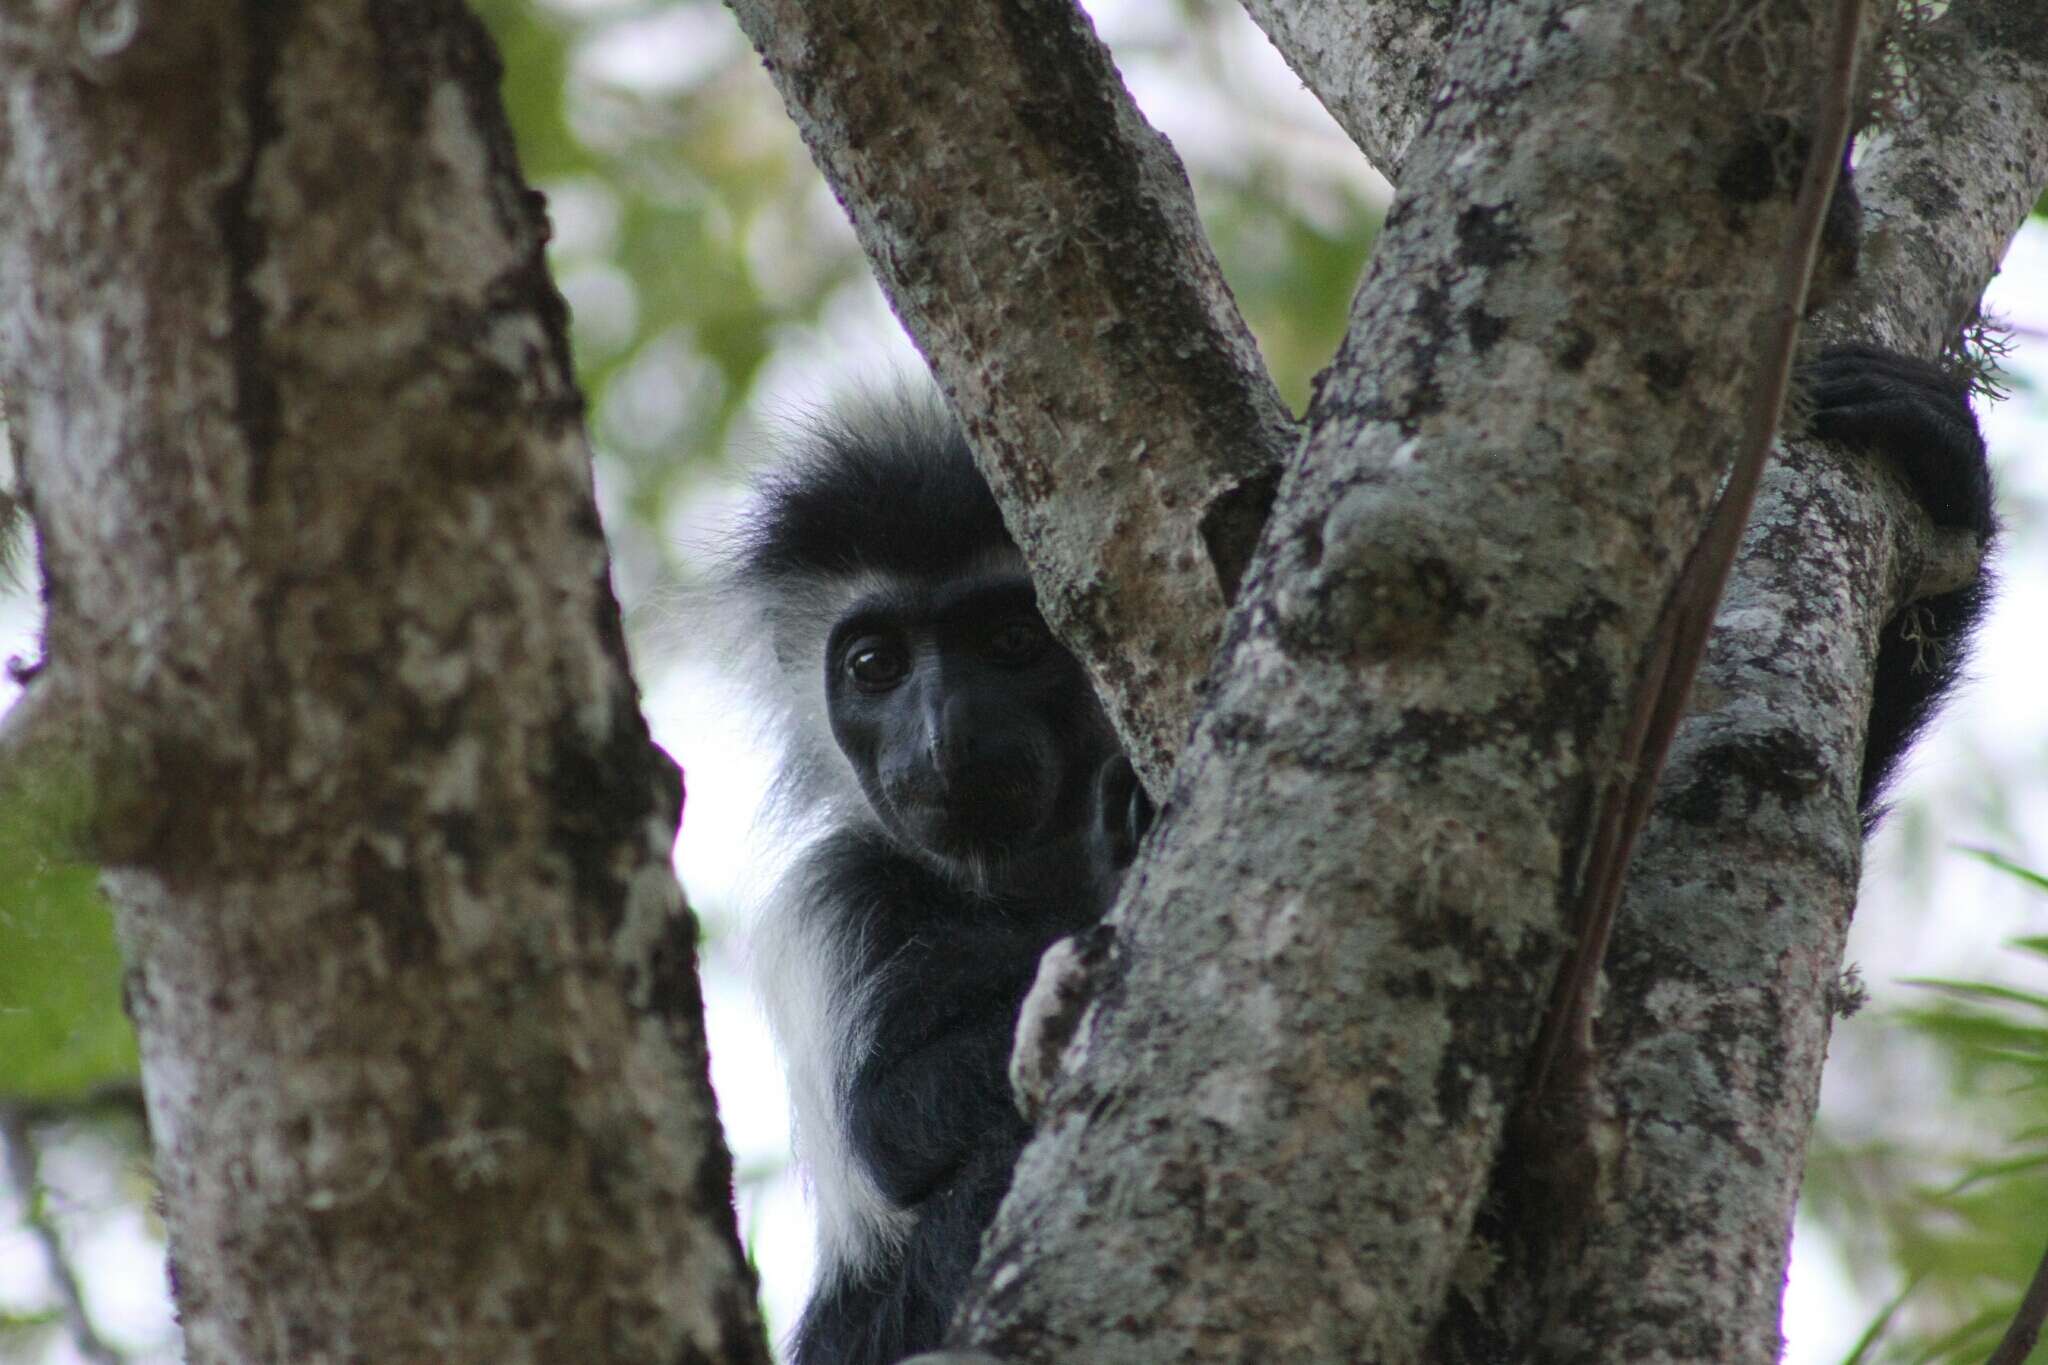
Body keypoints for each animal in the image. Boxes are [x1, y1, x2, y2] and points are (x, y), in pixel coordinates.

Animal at [712, 343, 1990, 1365]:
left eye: (1007, 641)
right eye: (874, 665)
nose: (939, 735)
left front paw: (1937, 461)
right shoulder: (841, 902)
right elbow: (899, 1112)